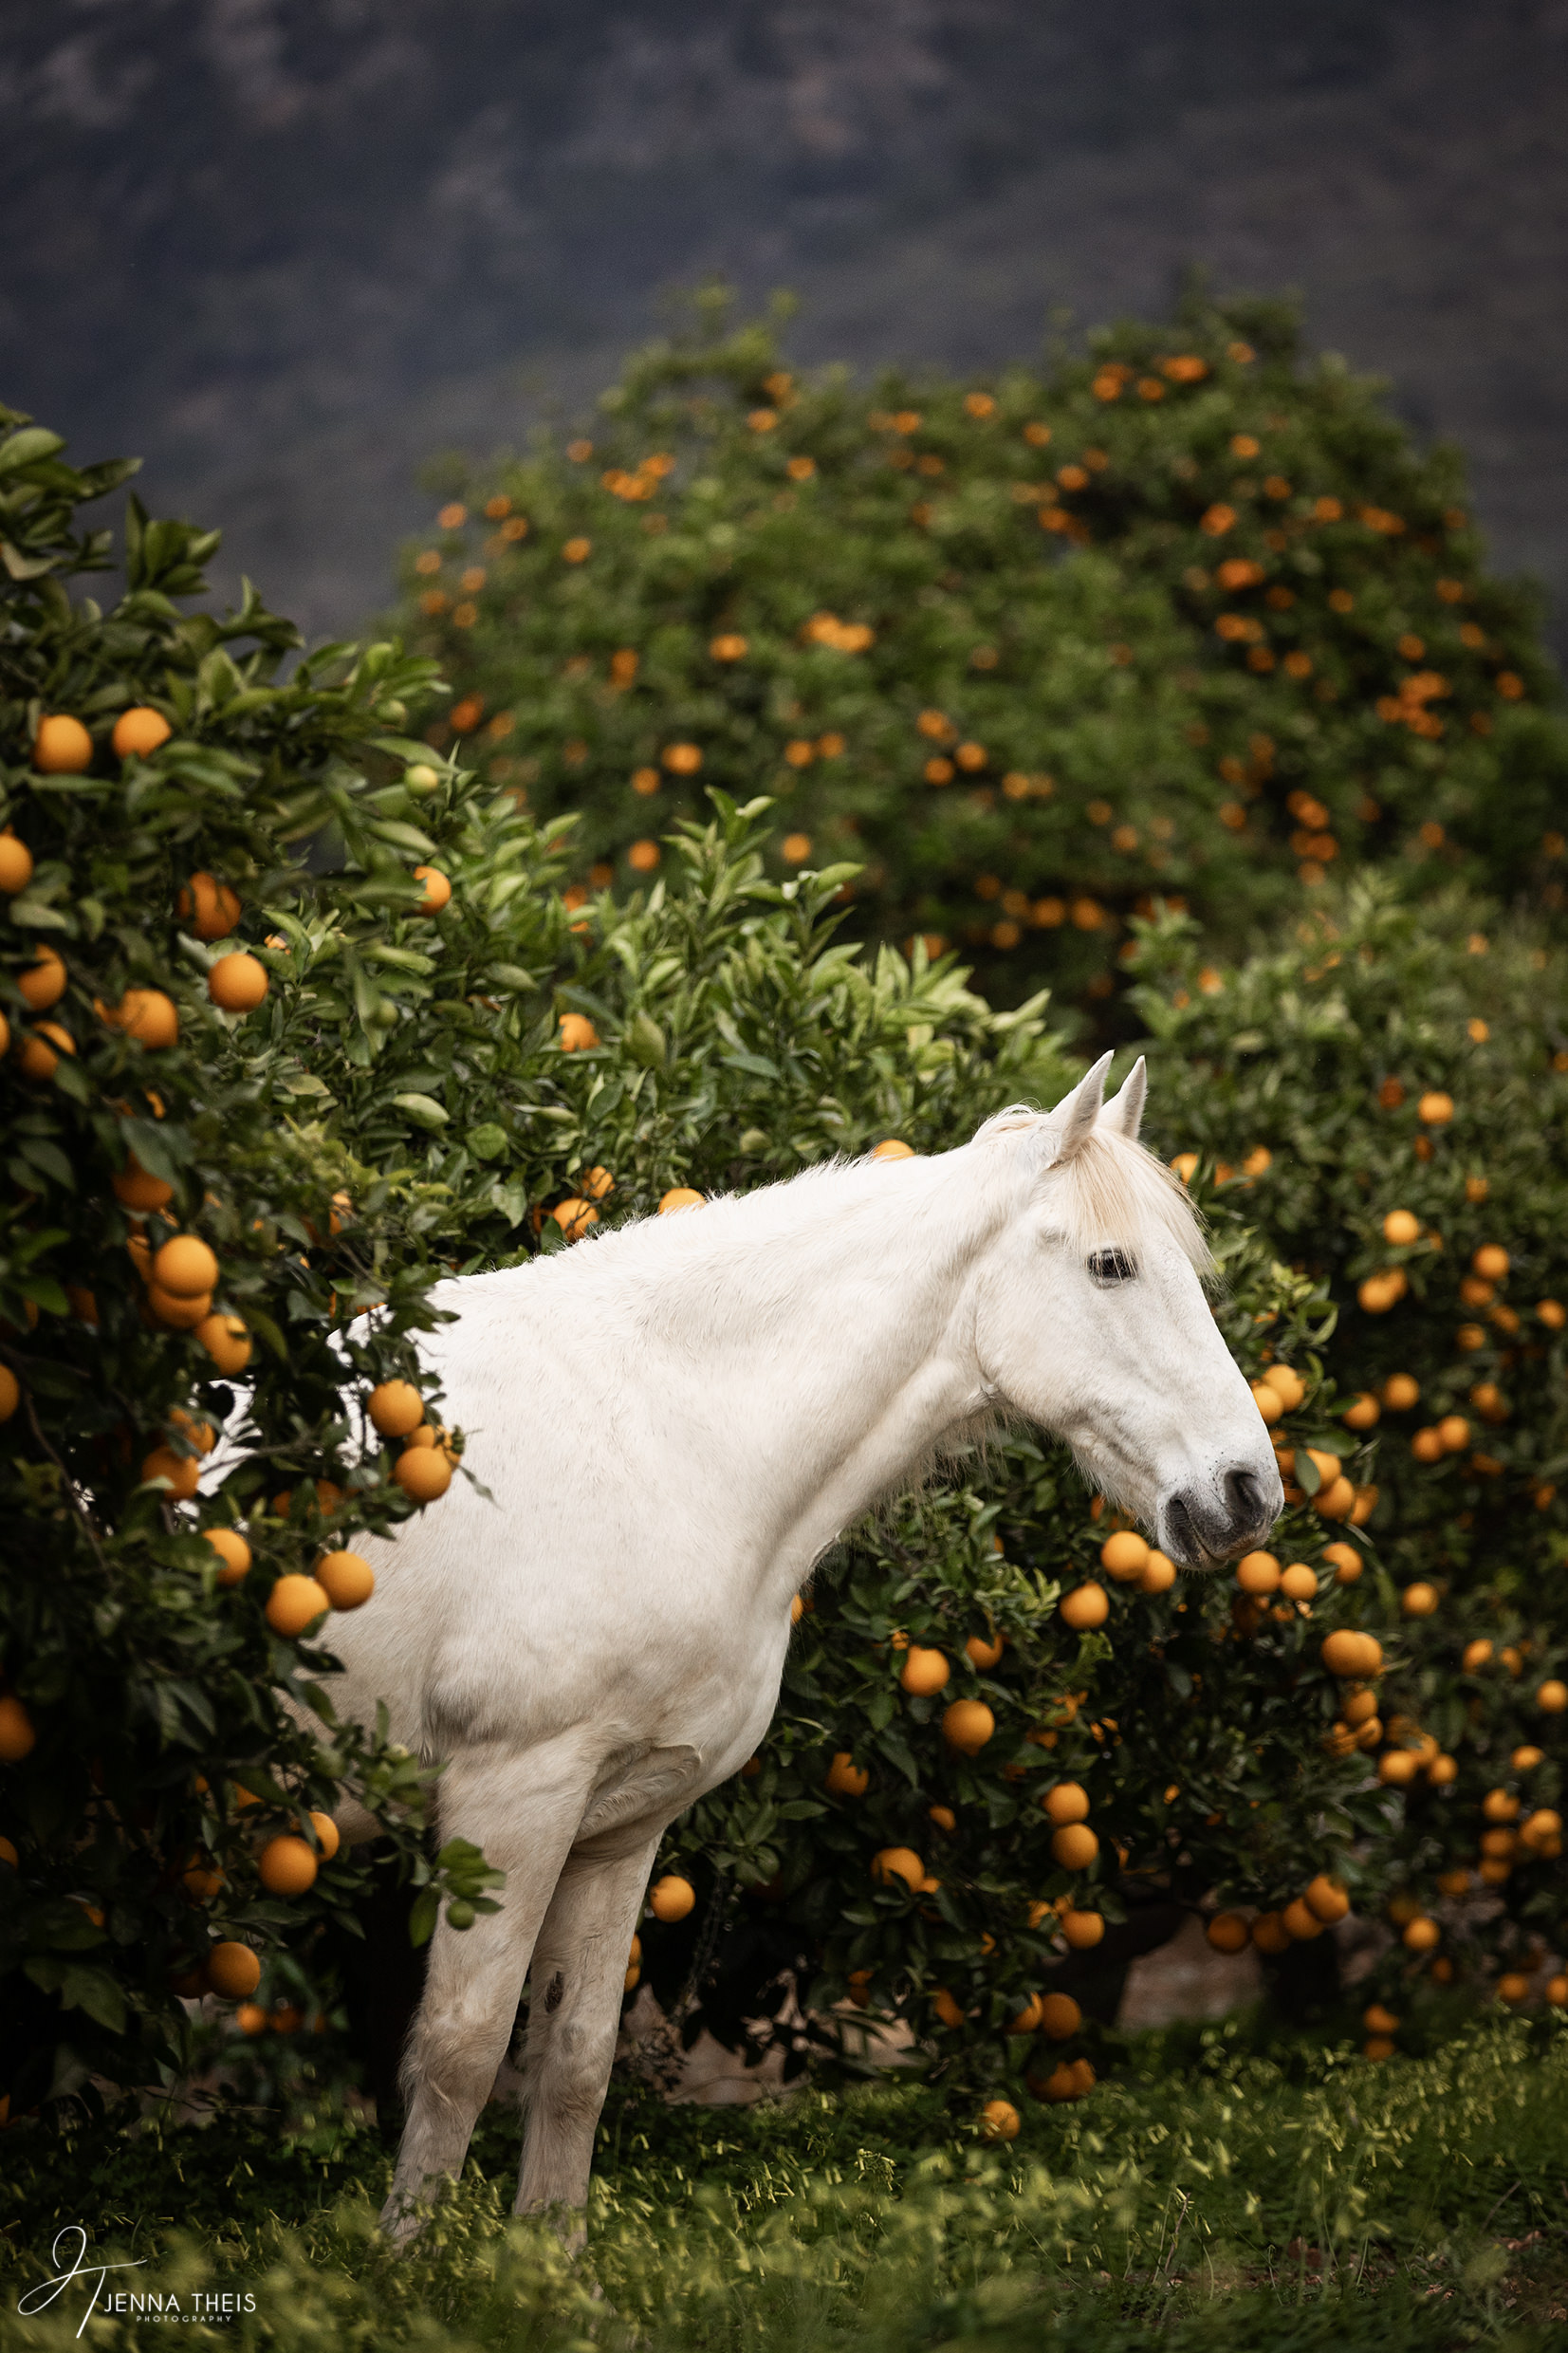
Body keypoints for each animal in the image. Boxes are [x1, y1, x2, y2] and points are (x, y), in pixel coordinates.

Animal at [311, 1051, 1282, 2240]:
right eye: (1112, 1264)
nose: (1248, 1491)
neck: (658, 1435)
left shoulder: (616, 1825)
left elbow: (575, 2059)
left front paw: (545, 2260)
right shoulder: (510, 1798)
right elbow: (459, 2052)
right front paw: (415, 2264)